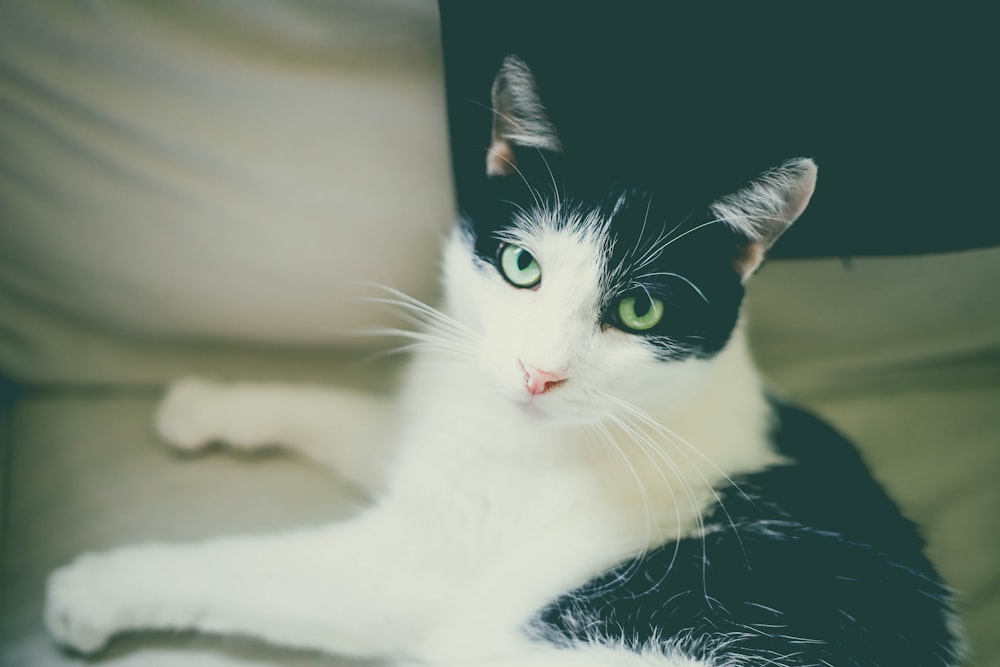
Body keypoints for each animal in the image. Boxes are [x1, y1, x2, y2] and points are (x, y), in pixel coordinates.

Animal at [45, 57, 960, 667]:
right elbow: (343, 413)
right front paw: (205, 402)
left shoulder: (411, 569)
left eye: (639, 311)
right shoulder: (431, 434)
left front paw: (94, 590)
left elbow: (242, 568)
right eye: (523, 265)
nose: (537, 372)